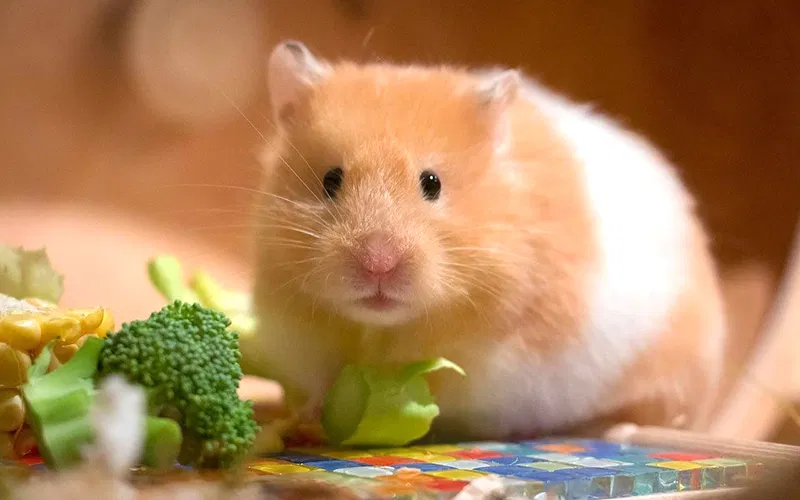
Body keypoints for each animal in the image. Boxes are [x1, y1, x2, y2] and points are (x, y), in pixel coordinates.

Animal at [249, 40, 727, 441]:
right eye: (331, 180)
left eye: (432, 183)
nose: (378, 265)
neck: (383, 328)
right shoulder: (301, 336)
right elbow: (322, 379)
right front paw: (313, 414)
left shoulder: (502, 364)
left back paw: (615, 429)